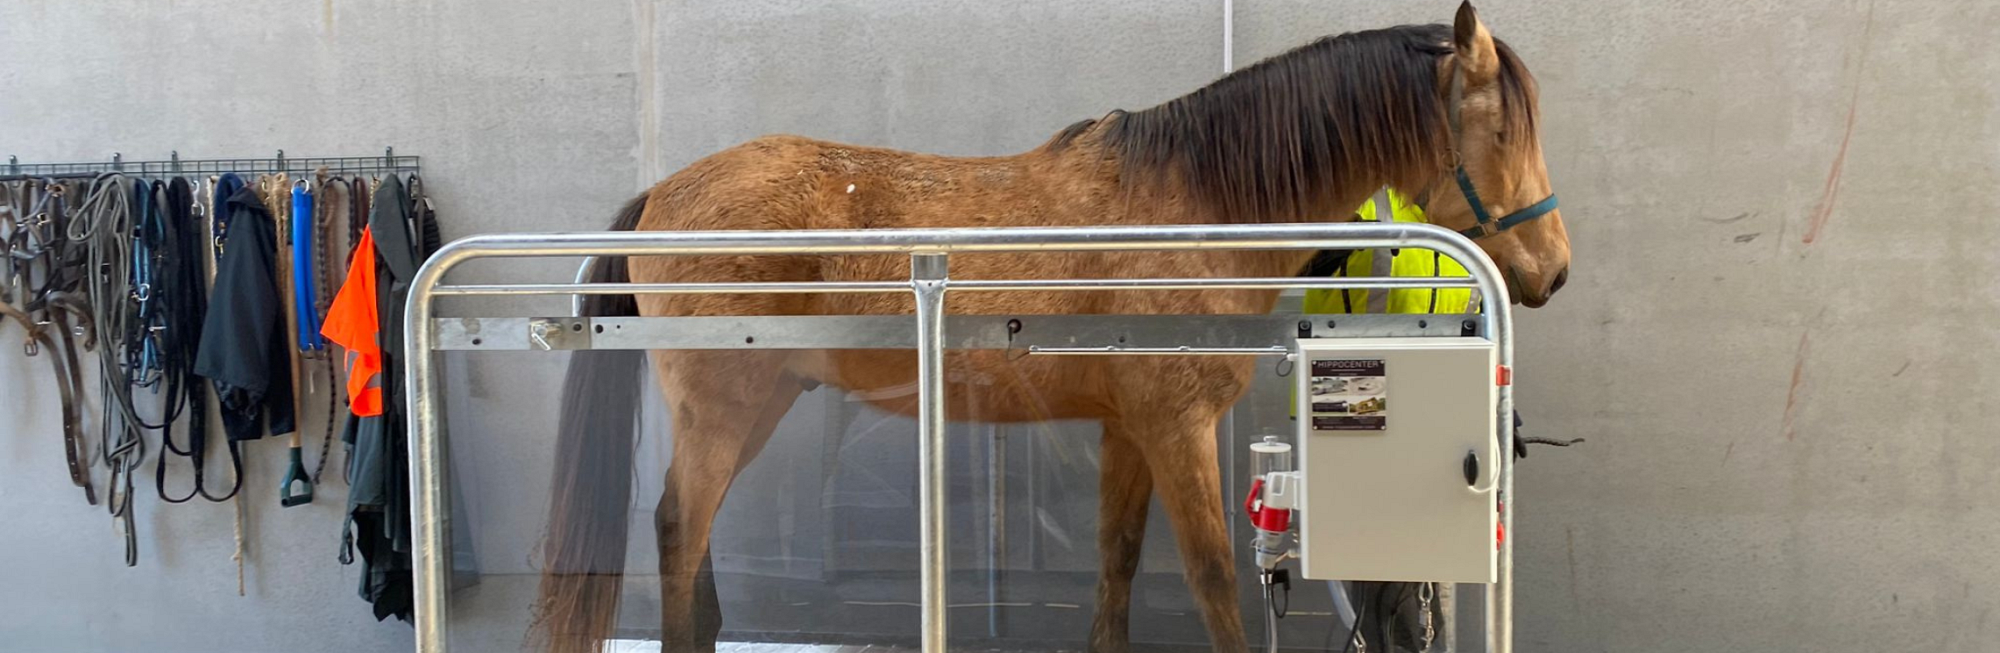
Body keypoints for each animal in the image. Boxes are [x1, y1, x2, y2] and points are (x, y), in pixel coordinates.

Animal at [534, 4, 1569, 652]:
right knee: (678, 527)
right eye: (1503, 131)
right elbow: (1213, 581)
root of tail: (662, 197)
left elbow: (1115, 570)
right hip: (727, 407)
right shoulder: (1177, 428)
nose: (1553, 269)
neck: (1198, 208)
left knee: (691, 532)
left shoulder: (1129, 431)